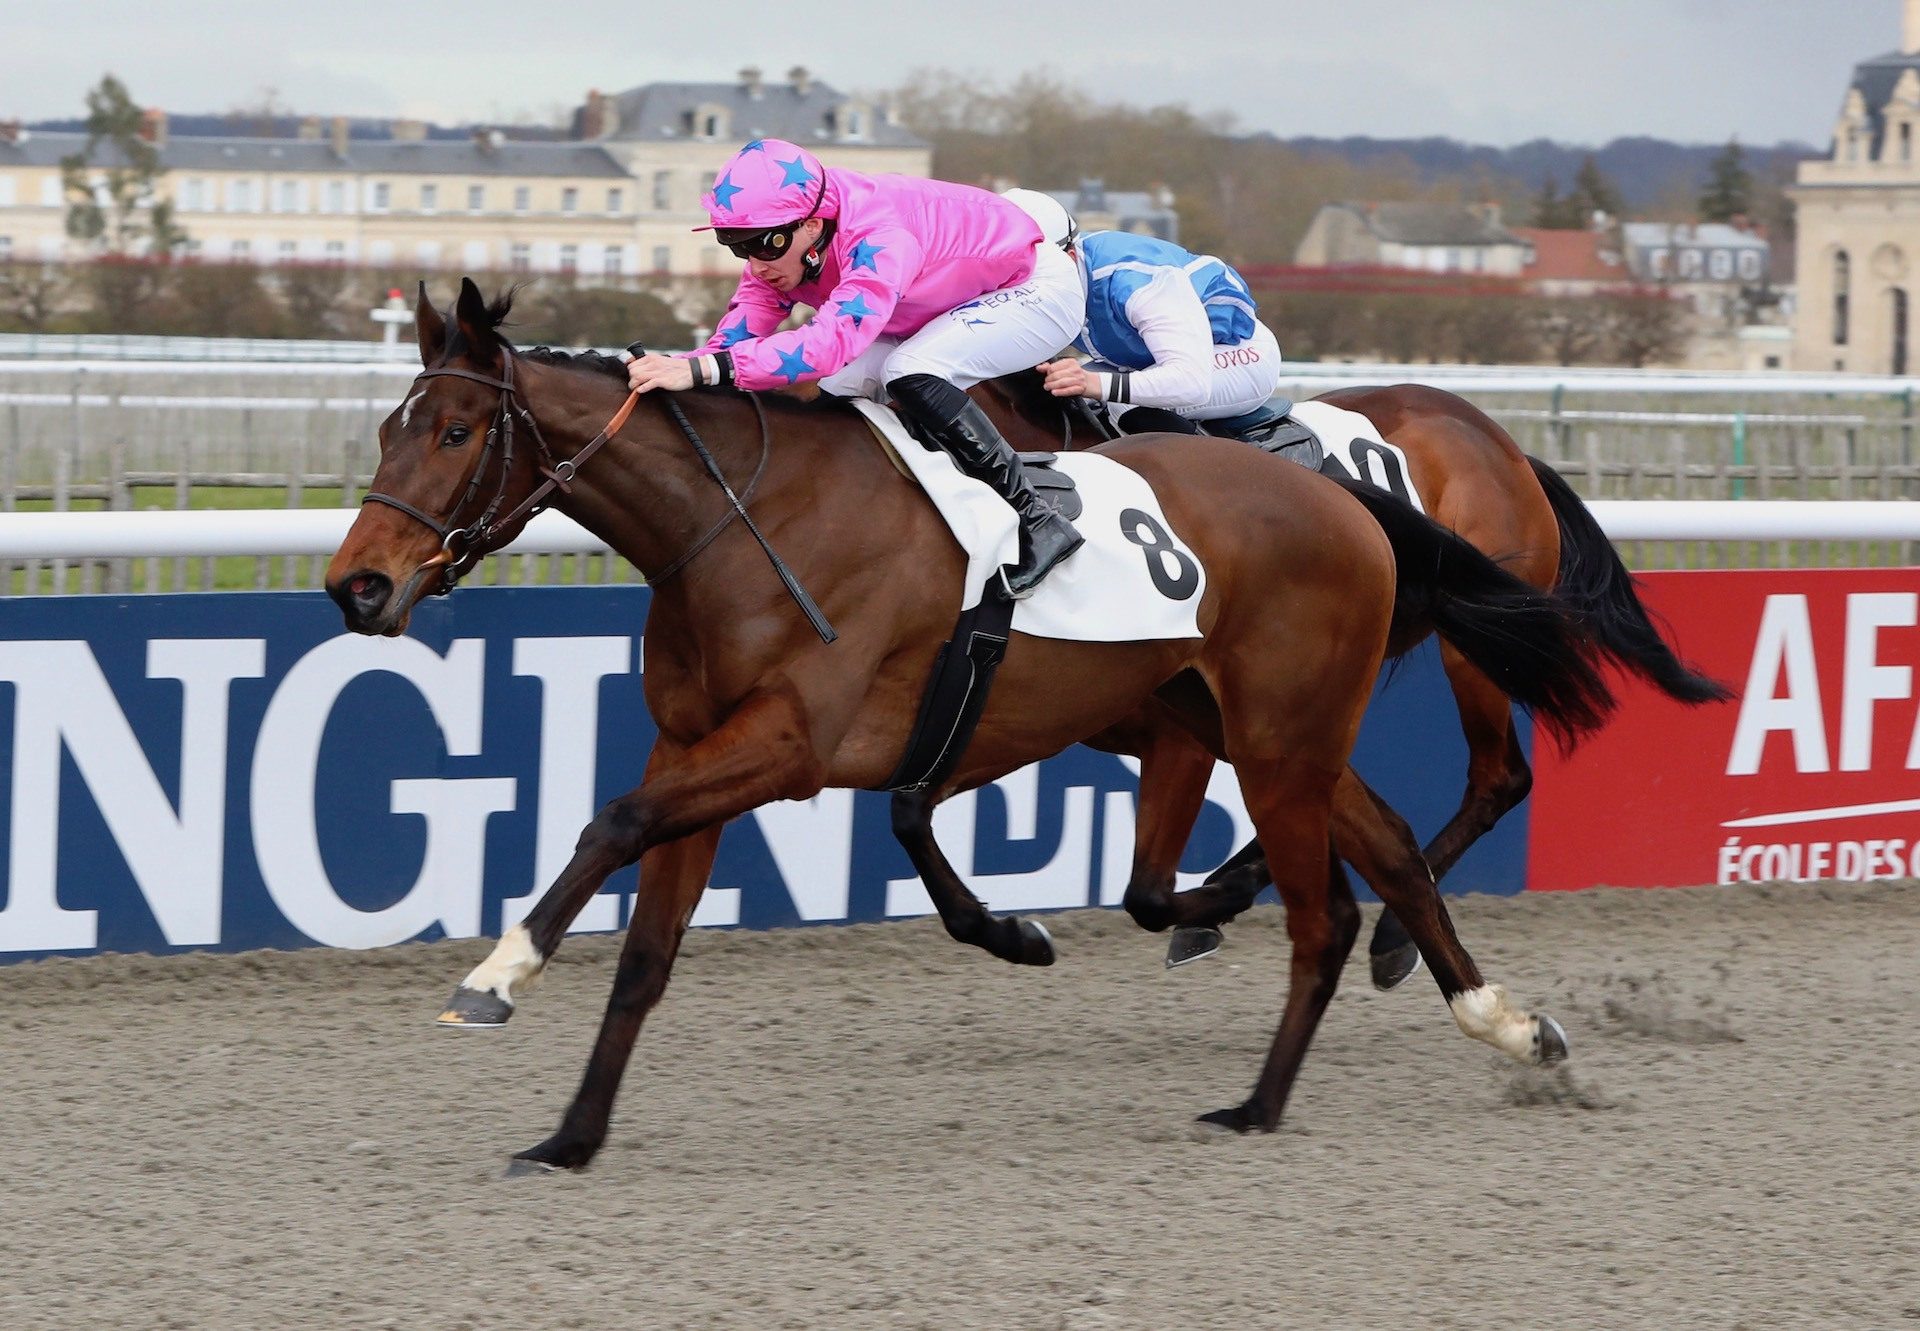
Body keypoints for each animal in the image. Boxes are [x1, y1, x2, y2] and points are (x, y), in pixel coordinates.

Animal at [326, 274, 1605, 1167]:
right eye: (387, 429)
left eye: (453, 432)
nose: (358, 587)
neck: (742, 519)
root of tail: (1351, 499)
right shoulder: (702, 743)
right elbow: (648, 951)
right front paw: (573, 1133)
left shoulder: (788, 746)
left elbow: (613, 822)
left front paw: (496, 975)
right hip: (1267, 730)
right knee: (1385, 853)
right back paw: (1506, 1022)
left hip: (1283, 736)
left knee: (1338, 902)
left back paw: (1259, 1099)